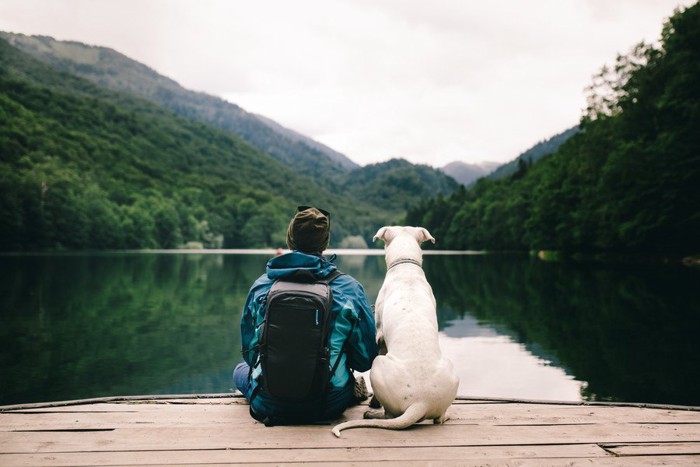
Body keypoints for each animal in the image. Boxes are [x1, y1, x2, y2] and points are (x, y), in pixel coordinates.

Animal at [334, 227, 460, 438]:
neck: (405, 266)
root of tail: (420, 402)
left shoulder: (379, 337)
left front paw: (373, 403)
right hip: (451, 372)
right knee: (439, 418)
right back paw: (447, 416)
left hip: (378, 365)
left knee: (390, 415)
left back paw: (372, 414)